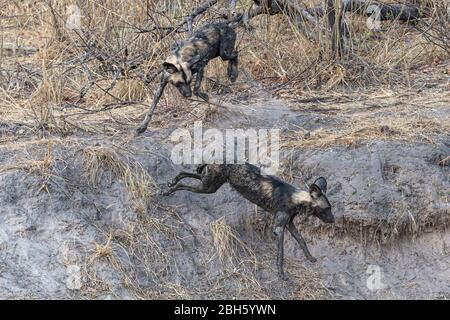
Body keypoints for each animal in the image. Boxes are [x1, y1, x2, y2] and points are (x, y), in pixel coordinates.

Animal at [163, 164, 334, 278]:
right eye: (327, 209)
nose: (333, 220)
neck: (296, 199)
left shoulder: (288, 224)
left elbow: (301, 240)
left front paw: (310, 258)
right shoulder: (279, 228)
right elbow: (281, 254)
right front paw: (281, 274)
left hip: (208, 183)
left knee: (186, 173)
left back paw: (172, 182)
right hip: (208, 187)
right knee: (185, 184)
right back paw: (169, 190)